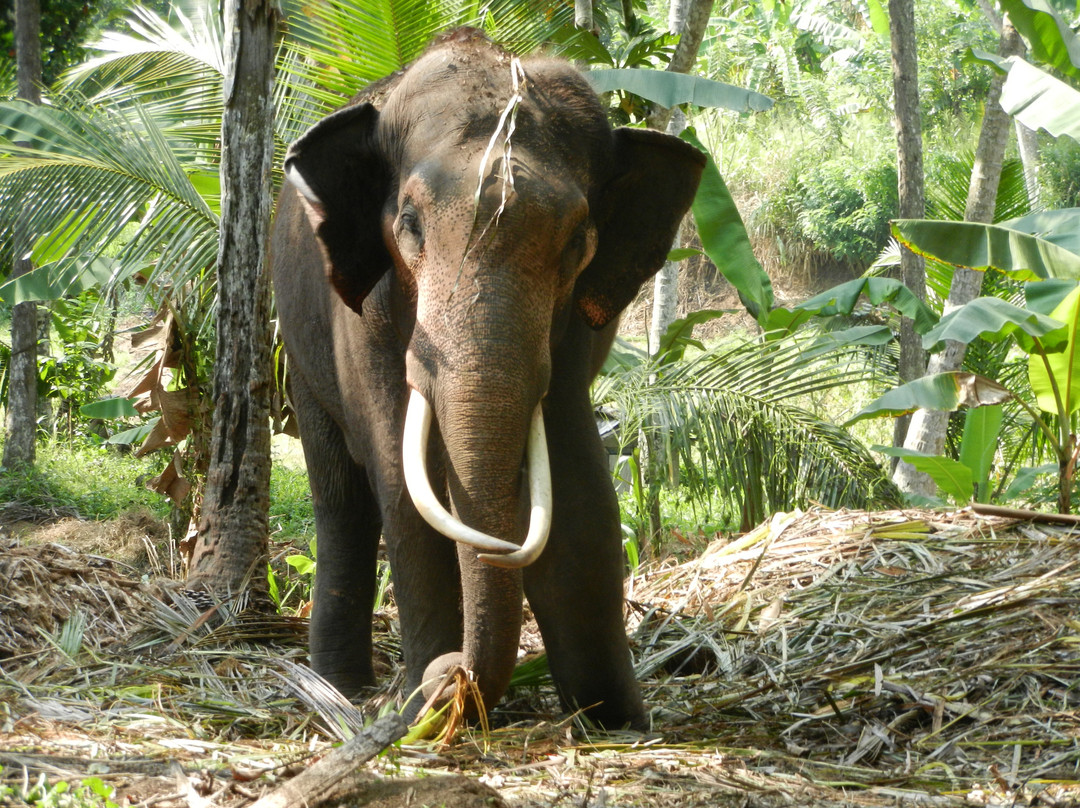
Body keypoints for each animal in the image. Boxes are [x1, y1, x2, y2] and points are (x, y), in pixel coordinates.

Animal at [274, 28, 704, 730]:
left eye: (577, 242)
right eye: (410, 223)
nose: (451, 677)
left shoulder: (573, 327)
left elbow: (581, 492)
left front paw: (616, 722)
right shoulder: (364, 314)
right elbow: (403, 487)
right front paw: (414, 707)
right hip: (297, 343)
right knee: (340, 500)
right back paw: (340, 688)